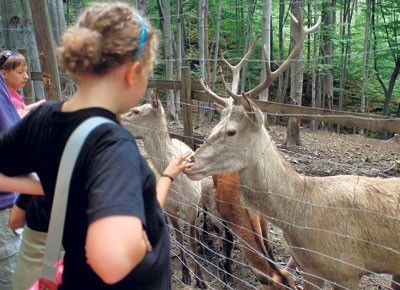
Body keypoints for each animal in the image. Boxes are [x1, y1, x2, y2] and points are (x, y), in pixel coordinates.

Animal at [121, 92, 206, 288]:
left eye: (136, 111)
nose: (117, 118)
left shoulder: (192, 207)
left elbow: (191, 241)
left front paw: (200, 279)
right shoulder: (171, 207)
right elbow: (180, 239)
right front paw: (186, 274)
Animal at [184, 11, 400, 290]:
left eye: (231, 131)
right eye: (214, 126)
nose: (189, 162)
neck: (300, 220)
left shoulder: (349, 269)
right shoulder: (309, 270)